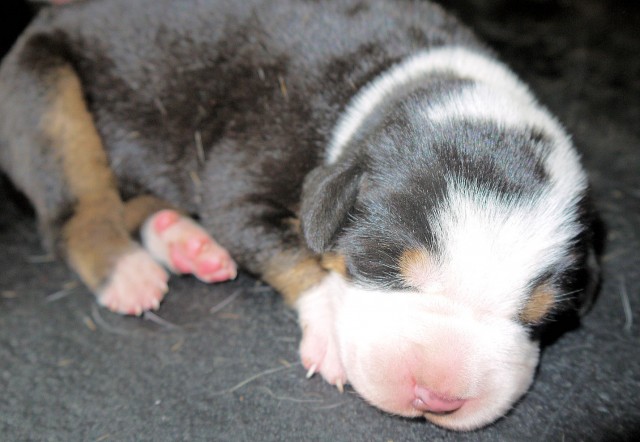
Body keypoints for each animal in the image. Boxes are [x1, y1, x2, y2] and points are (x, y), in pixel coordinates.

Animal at [1, 0, 600, 430]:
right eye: (383, 268)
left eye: (541, 317)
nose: (437, 397)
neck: (389, 82)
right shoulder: (242, 180)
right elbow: (298, 255)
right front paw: (330, 331)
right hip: (47, 91)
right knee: (78, 209)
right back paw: (128, 272)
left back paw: (184, 242)